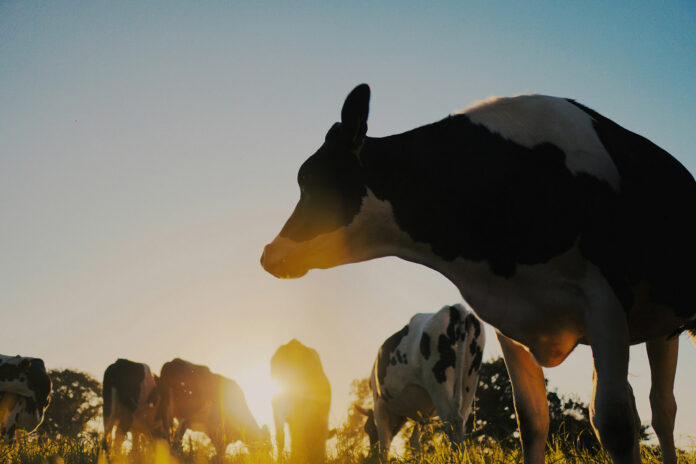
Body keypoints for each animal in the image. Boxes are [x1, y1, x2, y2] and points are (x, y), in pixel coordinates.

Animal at [355, 304, 485, 458]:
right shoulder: (423, 414)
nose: (370, 455)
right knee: (461, 421)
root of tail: (455, 308)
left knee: (453, 421)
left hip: (438, 381)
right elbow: (415, 441)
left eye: (367, 428)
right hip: (469, 383)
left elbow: (384, 447)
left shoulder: (379, 404)